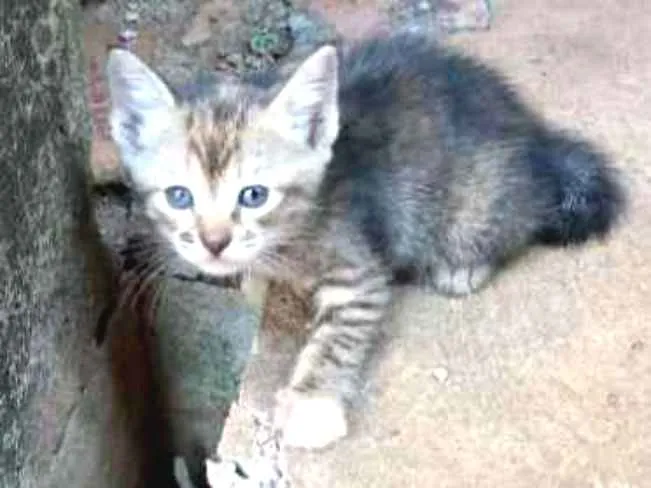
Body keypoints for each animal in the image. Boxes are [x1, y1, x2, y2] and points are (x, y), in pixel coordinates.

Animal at [107, 33, 628, 450]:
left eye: (253, 196)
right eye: (179, 196)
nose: (214, 243)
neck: (294, 230)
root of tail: (535, 136)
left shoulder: (357, 269)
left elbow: (336, 337)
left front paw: (311, 406)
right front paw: (254, 281)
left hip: (478, 202)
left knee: (515, 221)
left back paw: (463, 266)